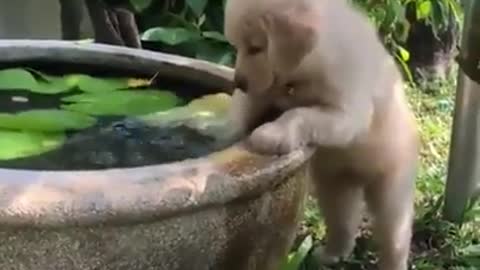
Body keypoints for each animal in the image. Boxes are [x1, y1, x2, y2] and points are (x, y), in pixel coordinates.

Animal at [225, 0, 420, 270]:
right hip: (335, 187)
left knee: (395, 236)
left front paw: (273, 133)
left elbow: (300, 113)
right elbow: (243, 109)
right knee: (342, 222)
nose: (239, 82)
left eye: (256, 48)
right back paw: (332, 254)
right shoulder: (264, 91)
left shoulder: (347, 114)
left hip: (391, 186)